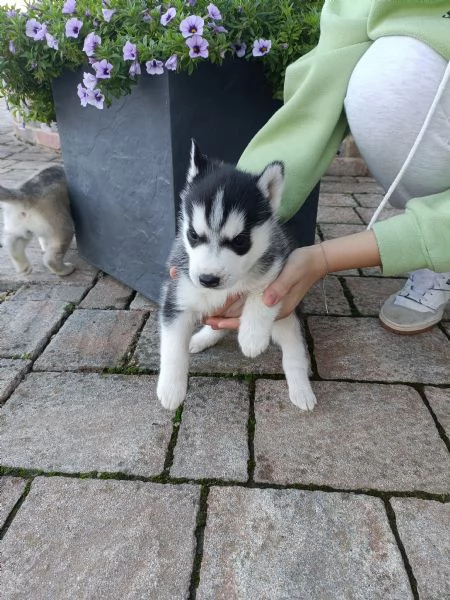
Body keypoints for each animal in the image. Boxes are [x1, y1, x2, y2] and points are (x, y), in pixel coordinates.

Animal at [158, 141, 316, 412]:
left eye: (240, 241)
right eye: (192, 234)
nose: (208, 280)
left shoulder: (277, 267)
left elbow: (261, 294)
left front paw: (252, 337)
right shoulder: (177, 294)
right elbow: (172, 347)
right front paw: (170, 388)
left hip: (288, 320)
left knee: (294, 352)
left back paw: (301, 390)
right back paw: (201, 338)